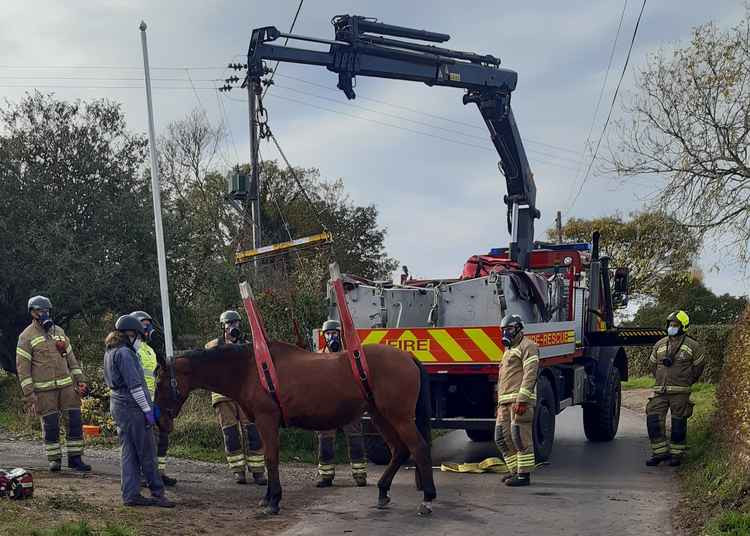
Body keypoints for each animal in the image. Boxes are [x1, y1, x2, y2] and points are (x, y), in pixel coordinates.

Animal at [156, 342, 438, 516]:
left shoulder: (267, 420)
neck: (250, 369)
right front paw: (268, 496)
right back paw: (382, 491)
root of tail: (408, 357)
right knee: (400, 450)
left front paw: (274, 500)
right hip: (381, 416)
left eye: (160, 381)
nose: (160, 421)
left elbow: (271, 460)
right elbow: (268, 460)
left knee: (419, 448)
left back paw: (427, 499)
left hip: (398, 417)